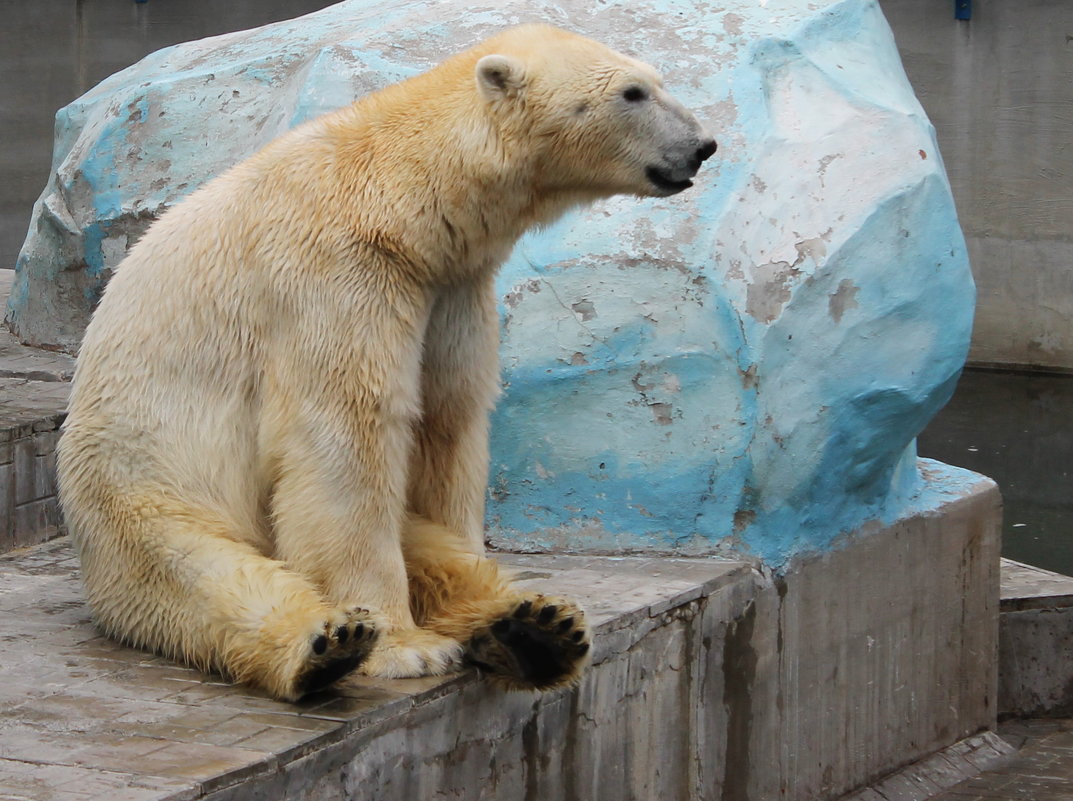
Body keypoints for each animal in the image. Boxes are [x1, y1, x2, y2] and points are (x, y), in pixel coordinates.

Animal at [56, 23, 712, 703]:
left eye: (656, 80)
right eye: (633, 92)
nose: (703, 147)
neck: (396, 194)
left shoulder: (451, 287)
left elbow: (447, 422)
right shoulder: (335, 274)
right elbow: (348, 434)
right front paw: (399, 647)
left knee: (428, 544)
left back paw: (532, 627)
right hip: (142, 488)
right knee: (203, 574)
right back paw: (326, 644)